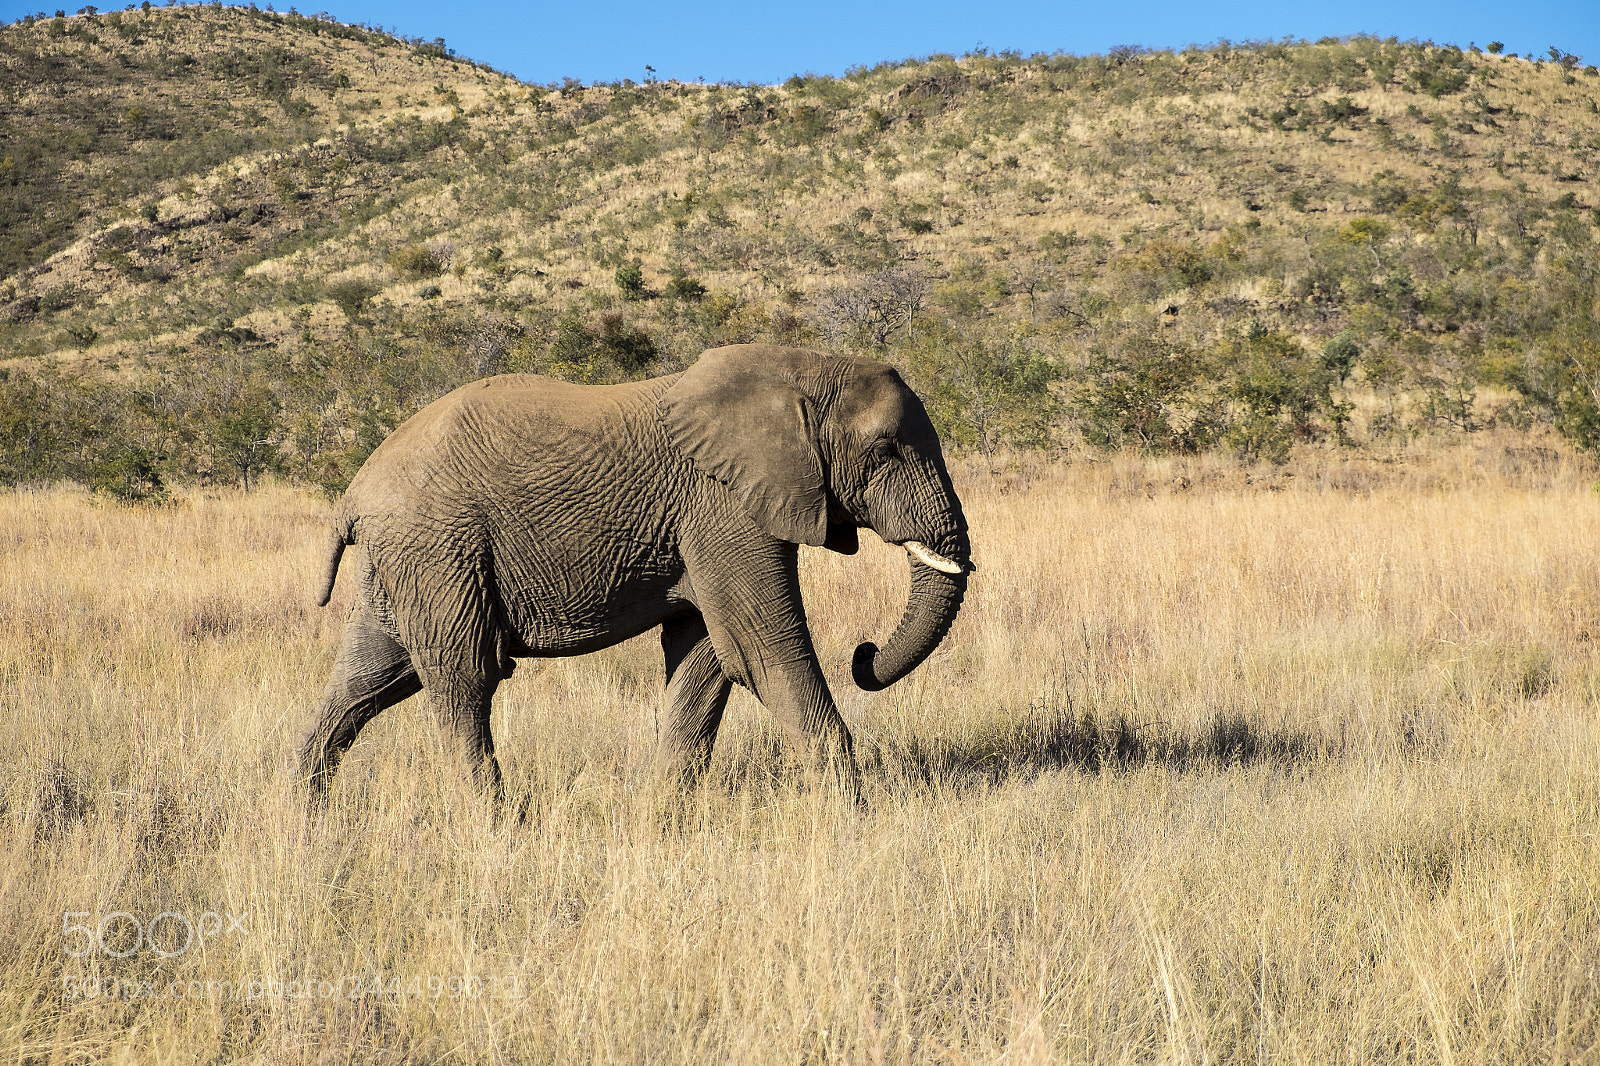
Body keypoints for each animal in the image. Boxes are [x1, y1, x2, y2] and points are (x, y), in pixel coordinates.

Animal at [297, 343, 972, 803]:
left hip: (406, 558)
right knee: (463, 676)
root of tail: (355, 490)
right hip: (439, 547)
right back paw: (495, 824)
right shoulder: (722, 505)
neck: (799, 368)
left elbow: (706, 654)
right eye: (885, 450)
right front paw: (855, 816)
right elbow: (762, 651)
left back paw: (308, 818)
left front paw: (661, 810)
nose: (864, 652)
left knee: (370, 677)